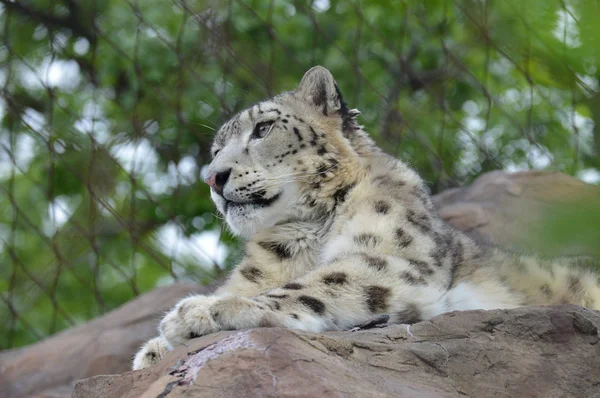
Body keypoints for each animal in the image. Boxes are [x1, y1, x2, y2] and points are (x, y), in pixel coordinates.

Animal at [134, 66, 600, 370]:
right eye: (216, 150)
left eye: (263, 129)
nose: (213, 177)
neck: (303, 235)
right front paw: (153, 349)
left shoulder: (395, 258)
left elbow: (315, 283)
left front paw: (202, 311)